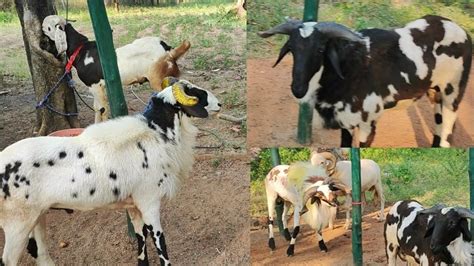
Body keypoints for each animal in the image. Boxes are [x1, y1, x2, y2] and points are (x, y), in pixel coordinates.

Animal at [0, 78, 222, 264]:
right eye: (196, 93)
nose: (219, 104)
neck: (156, 133)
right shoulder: (149, 201)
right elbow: (161, 245)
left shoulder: (134, 205)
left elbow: (141, 241)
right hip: (17, 224)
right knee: (9, 260)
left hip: (37, 217)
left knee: (41, 253)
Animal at [260, 15, 470, 148]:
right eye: (291, 49)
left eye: (320, 49)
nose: (298, 89)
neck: (350, 69)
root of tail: (462, 31)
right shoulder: (345, 122)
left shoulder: (368, 125)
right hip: (435, 93)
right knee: (439, 128)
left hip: (453, 94)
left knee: (447, 133)